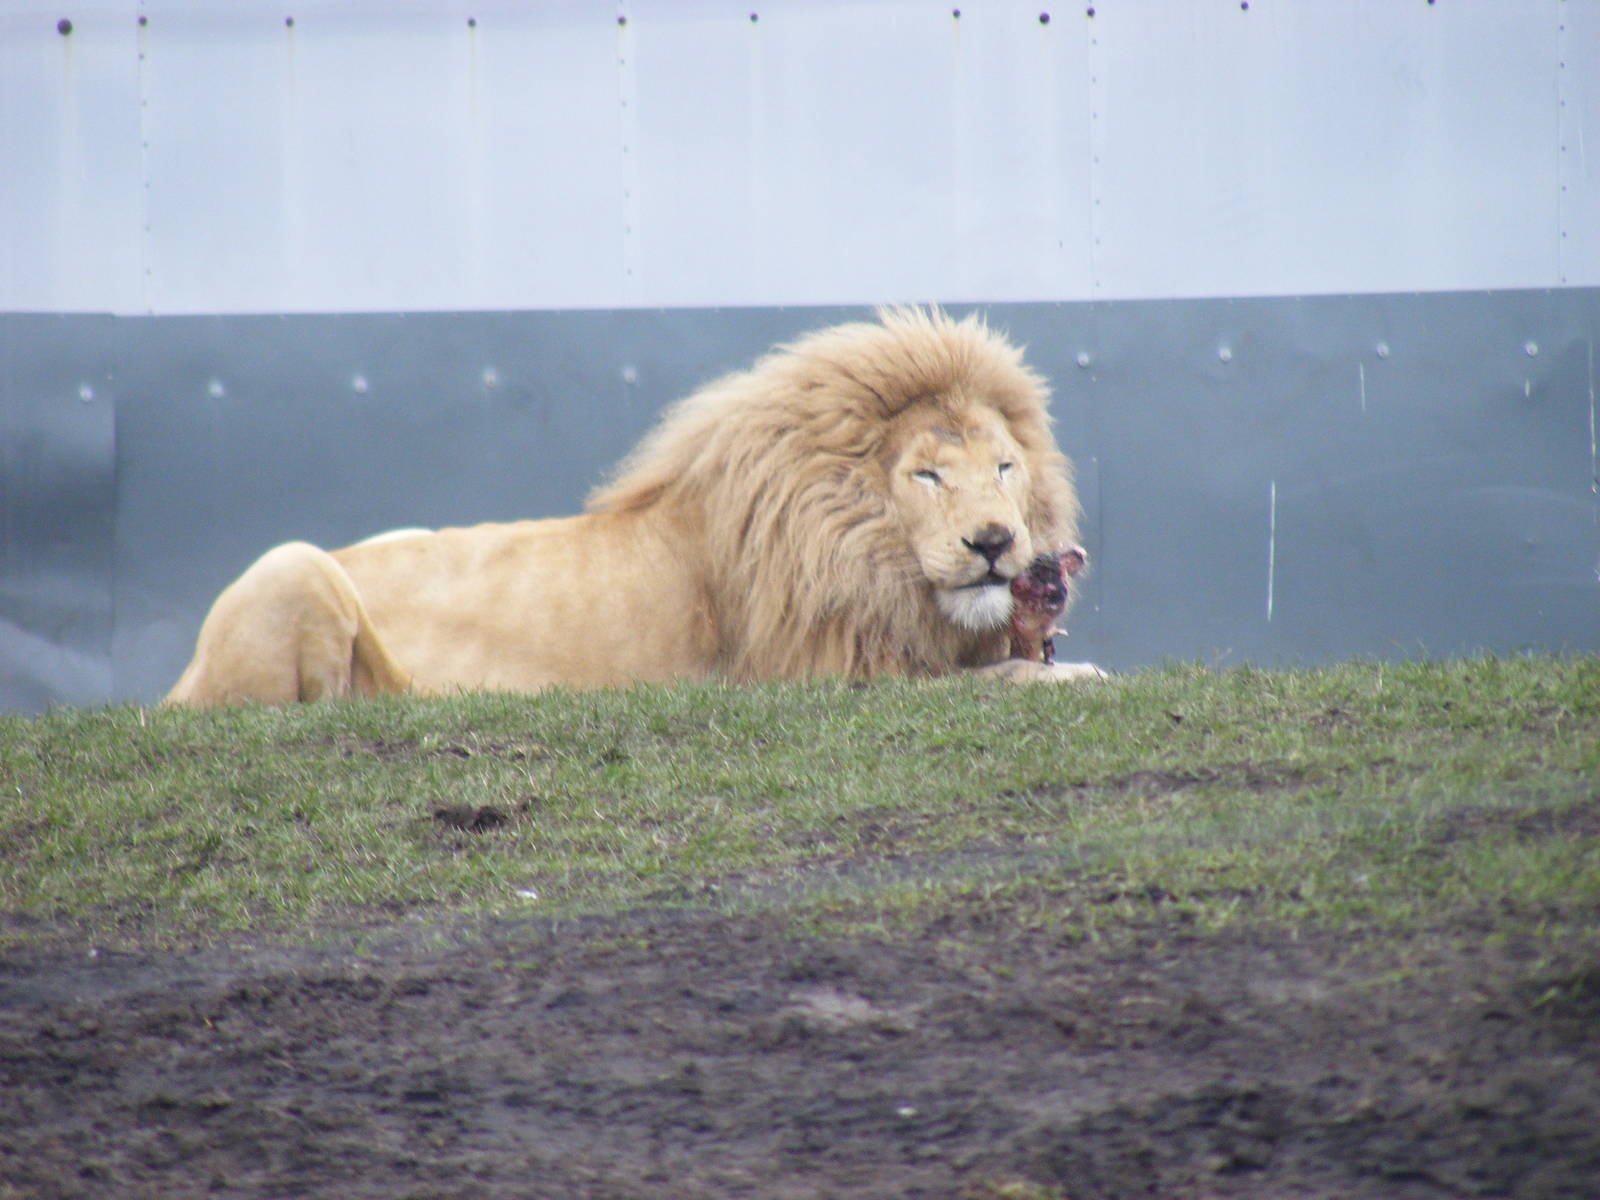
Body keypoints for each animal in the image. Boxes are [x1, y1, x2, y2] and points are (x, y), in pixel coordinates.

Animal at [164, 307, 1103, 706]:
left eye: (1006, 468)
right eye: (928, 476)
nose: (994, 542)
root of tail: (176, 687)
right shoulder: (815, 676)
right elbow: (998, 675)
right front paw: (1077, 675)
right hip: (293, 565)